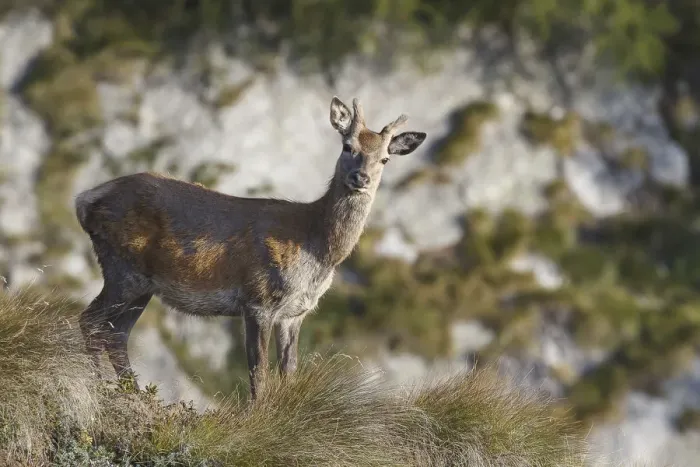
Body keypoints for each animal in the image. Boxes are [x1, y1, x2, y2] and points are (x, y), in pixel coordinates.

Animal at [74, 96, 427, 399]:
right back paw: (99, 388)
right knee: (90, 321)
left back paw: (132, 394)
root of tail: (84, 199)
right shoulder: (258, 300)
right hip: (122, 268)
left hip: (142, 285)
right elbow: (259, 375)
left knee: (116, 334)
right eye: (347, 146)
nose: (360, 177)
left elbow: (289, 372)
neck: (317, 249)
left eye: (385, 158)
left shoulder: (295, 313)